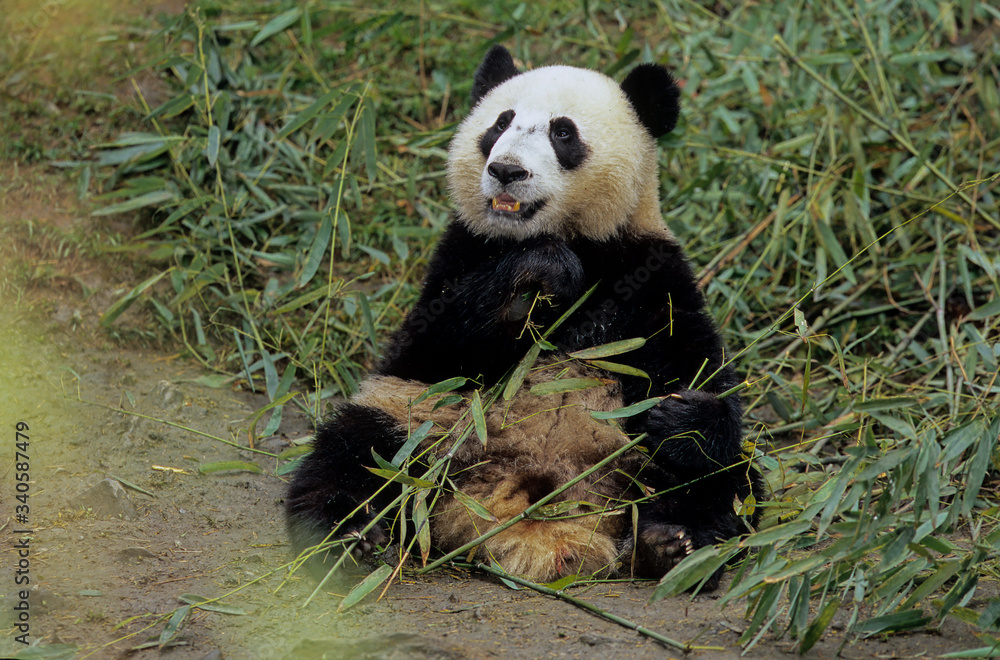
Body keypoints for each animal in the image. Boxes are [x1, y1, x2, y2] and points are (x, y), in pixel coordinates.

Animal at [286, 45, 761, 588]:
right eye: (500, 123)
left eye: (563, 133)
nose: (506, 171)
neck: (569, 237)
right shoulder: (461, 254)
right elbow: (435, 343)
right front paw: (537, 275)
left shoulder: (649, 274)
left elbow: (696, 366)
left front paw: (681, 415)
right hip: (425, 422)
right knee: (353, 456)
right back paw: (350, 539)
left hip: (633, 455)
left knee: (726, 483)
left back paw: (669, 546)